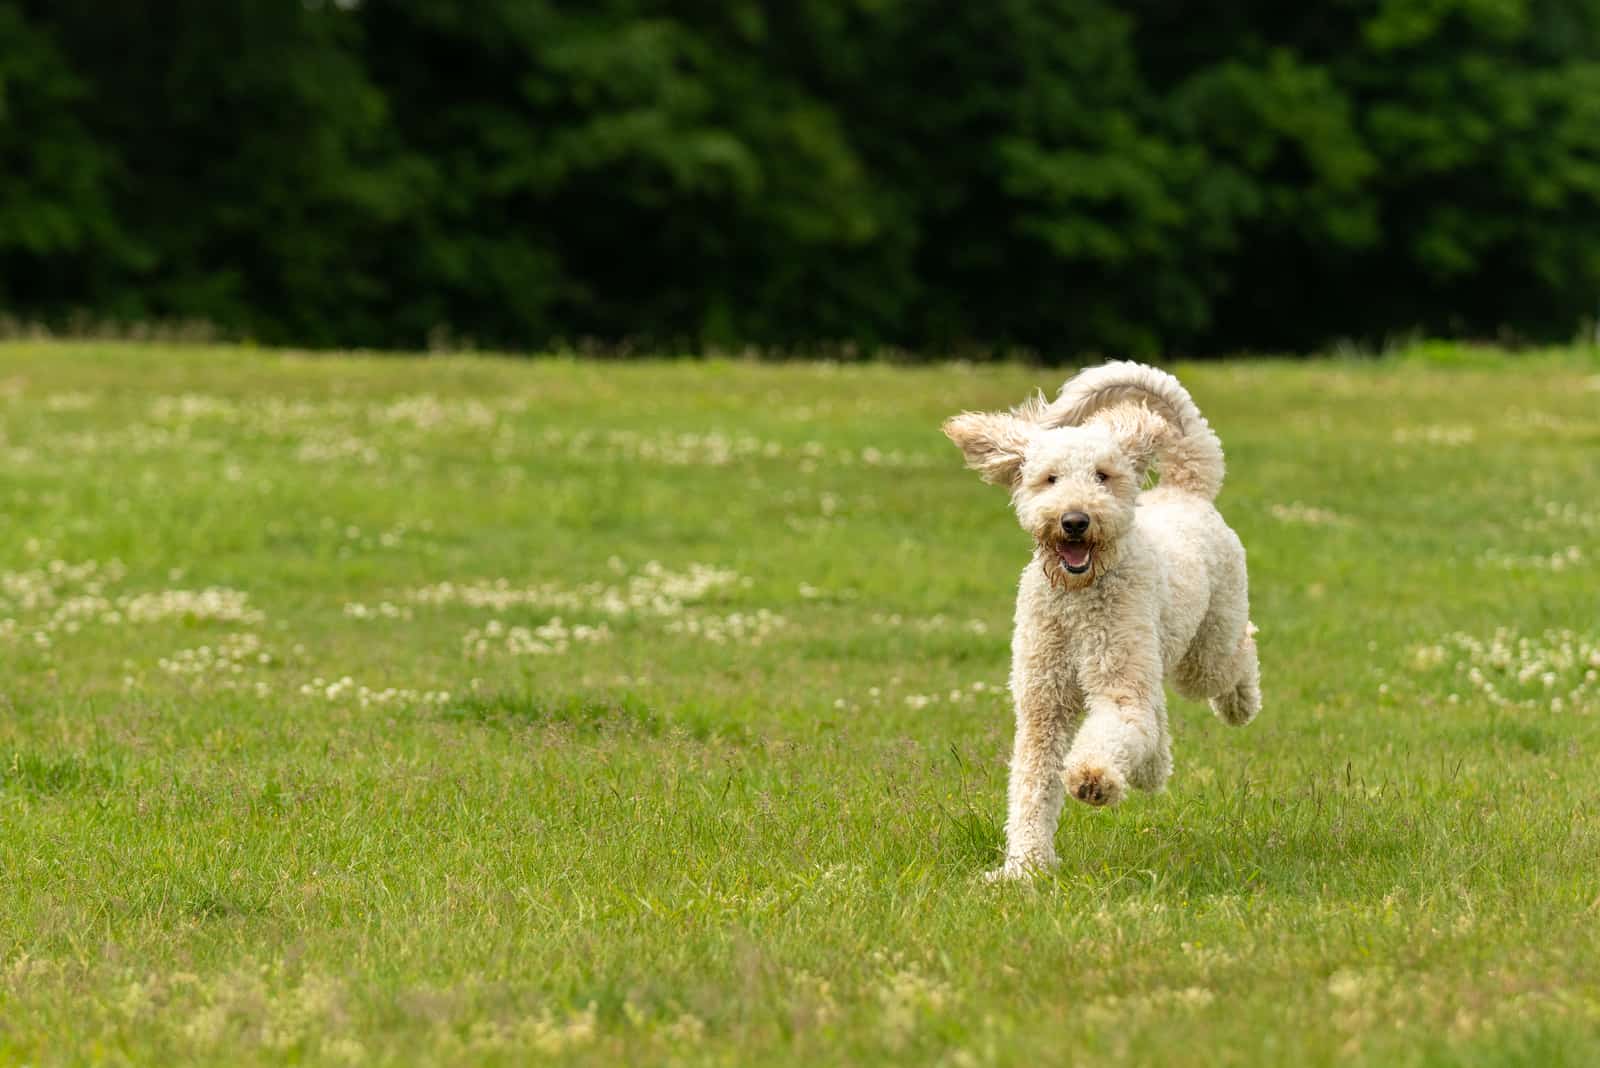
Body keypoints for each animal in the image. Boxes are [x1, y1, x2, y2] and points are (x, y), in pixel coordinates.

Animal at [940, 362, 1254, 882]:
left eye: (1103, 476)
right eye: (1049, 479)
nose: (1075, 520)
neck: (1077, 603)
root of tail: (1184, 488)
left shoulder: (1118, 686)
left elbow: (1113, 729)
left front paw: (1093, 779)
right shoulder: (1042, 704)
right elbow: (1031, 786)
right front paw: (1024, 869)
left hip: (1205, 649)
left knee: (1236, 653)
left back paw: (1240, 703)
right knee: (1156, 723)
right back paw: (1149, 768)